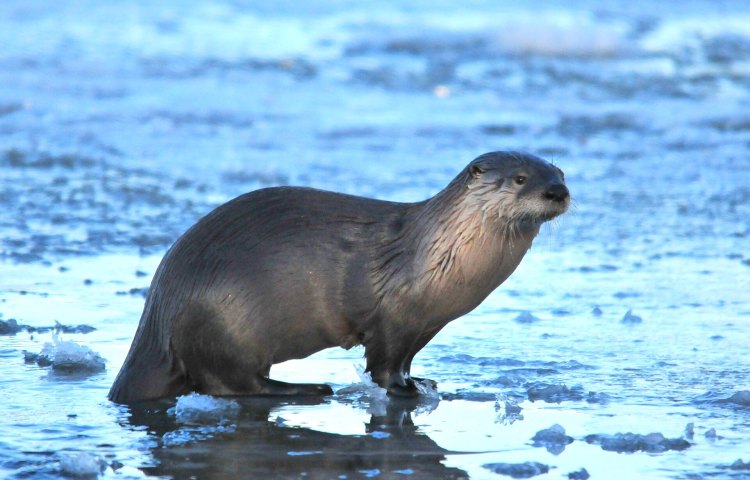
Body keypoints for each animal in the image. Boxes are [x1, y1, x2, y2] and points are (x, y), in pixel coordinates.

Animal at [109, 151, 569, 403]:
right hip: (222, 321)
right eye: (521, 179)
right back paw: (307, 388)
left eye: (561, 173)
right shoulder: (393, 316)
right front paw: (403, 390)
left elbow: (407, 360)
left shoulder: (425, 324)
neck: (435, 254)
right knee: (230, 383)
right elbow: (383, 365)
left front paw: (420, 380)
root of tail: (159, 313)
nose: (557, 192)